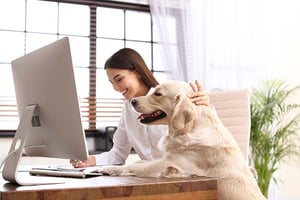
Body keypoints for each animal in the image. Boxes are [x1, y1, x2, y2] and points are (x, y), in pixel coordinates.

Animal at [99, 80, 266, 199]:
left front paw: (109, 169)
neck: (188, 129)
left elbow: (133, 167)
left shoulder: (170, 164)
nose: (132, 101)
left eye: (158, 94)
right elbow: (139, 162)